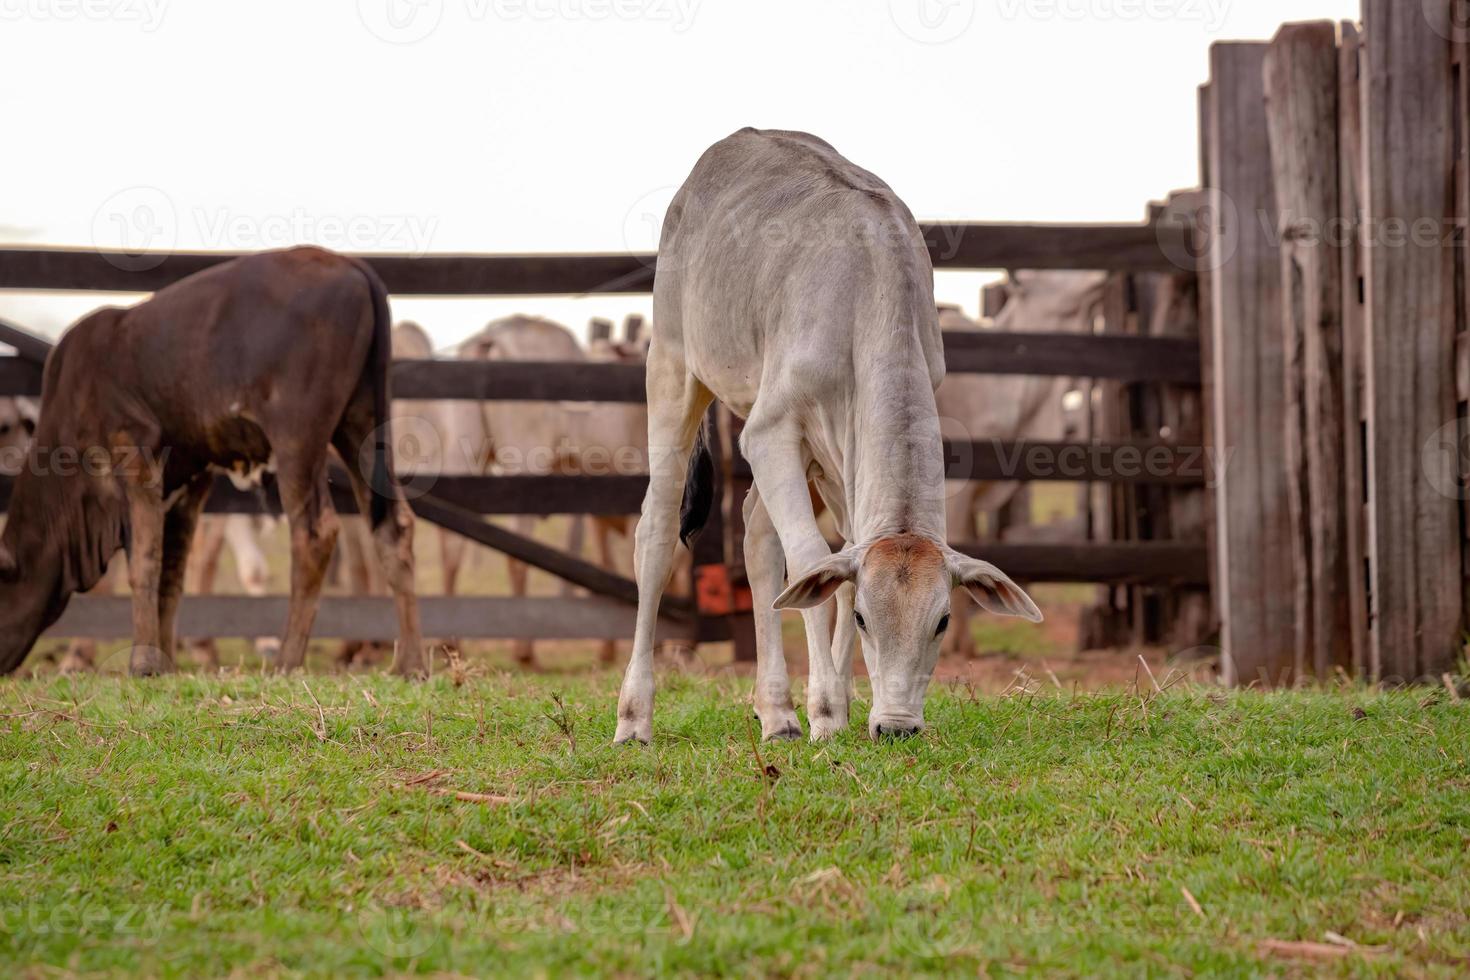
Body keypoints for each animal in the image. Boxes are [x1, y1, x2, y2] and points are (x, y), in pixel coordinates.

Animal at [0, 243, 426, 681]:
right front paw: (164, 662)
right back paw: (409, 663)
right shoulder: (191, 477)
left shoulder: (135, 454)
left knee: (314, 533)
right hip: (361, 424)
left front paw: (143, 664)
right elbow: (171, 573)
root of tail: (349, 265)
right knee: (394, 528)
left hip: (298, 437)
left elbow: (145, 565)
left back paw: (288, 660)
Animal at [617, 130, 1046, 743]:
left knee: (757, 540)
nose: (896, 727)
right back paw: (634, 718)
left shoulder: (844, 456)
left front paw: (838, 706)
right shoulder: (770, 433)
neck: (867, 297)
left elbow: (834, 569)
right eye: (866, 620)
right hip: (674, 370)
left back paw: (777, 713)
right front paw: (824, 710)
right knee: (655, 531)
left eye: (942, 621)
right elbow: (813, 569)